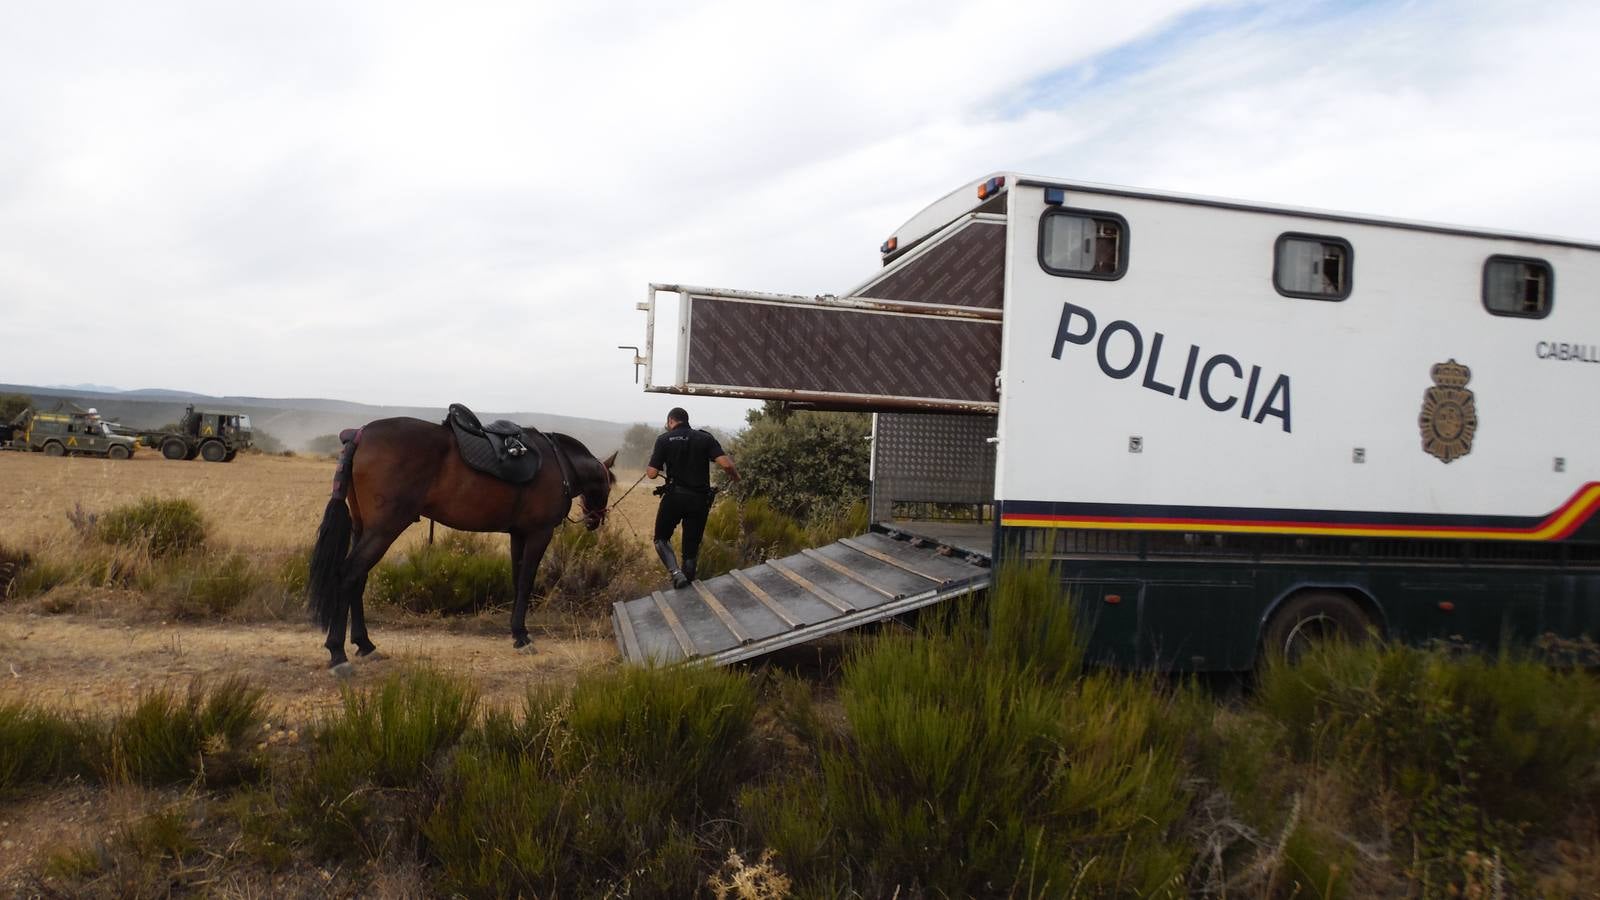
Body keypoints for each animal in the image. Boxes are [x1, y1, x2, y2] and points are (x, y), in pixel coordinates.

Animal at [307, 416, 617, 669]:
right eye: (609, 484)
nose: (596, 519)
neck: (558, 462)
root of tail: (359, 434)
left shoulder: (519, 534)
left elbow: (517, 580)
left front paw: (516, 632)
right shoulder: (539, 533)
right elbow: (526, 582)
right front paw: (523, 636)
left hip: (365, 529)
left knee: (358, 579)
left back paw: (365, 644)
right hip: (384, 529)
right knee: (348, 575)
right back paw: (337, 652)